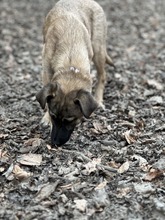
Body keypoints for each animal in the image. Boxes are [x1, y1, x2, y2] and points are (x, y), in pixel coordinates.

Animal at [36, 0, 114, 147]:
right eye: (53, 116)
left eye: (70, 120)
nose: (55, 143)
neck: (70, 58)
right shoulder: (46, 70)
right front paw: (46, 118)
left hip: (98, 49)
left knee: (102, 76)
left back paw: (99, 100)